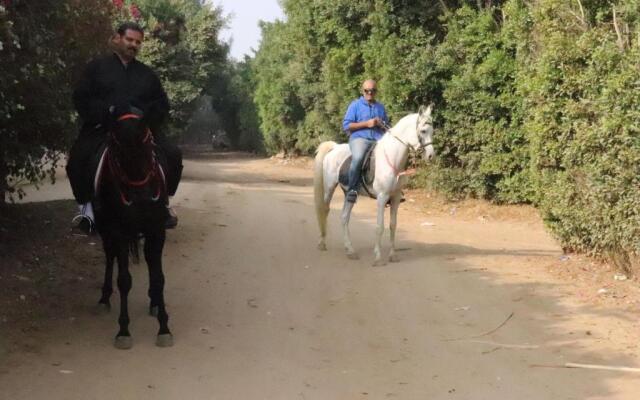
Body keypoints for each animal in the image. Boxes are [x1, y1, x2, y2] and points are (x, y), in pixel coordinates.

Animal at [92, 111, 173, 349]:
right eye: (118, 152)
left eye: (148, 145)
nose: (142, 200)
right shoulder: (119, 231)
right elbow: (124, 280)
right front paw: (124, 331)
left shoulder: (157, 229)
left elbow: (159, 277)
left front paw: (164, 327)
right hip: (106, 230)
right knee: (110, 256)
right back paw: (104, 299)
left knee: (148, 259)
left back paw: (154, 301)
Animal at [314, 105, 435, 266]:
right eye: (423, 131)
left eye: (432, 130)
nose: (431, 156)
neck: (392, 158)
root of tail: (334, 148)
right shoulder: (382, 197)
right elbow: (379, 226)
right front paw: (377, 257)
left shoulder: (396, 198)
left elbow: (393, 225)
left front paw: (392, 255)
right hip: (329, 188)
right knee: (324, 210)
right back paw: (322, 243)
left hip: (348, 194)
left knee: (344, 217)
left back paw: (350, 250)